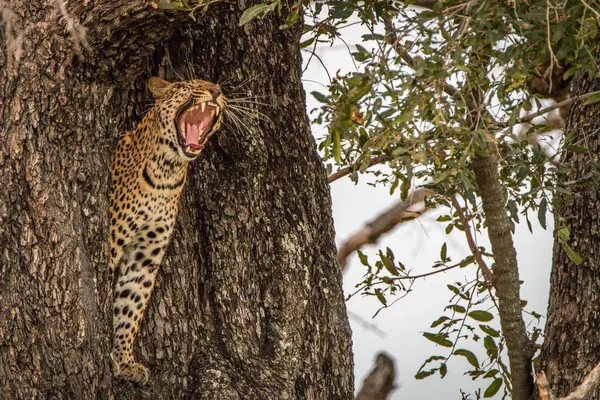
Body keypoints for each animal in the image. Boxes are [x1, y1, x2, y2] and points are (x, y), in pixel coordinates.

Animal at [107, 77, 225, 384]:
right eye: (192, 84)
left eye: (216, 86)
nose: (217, 91)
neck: (167, 172)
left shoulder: (144, 257)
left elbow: (131, 305)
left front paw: (124, 360)